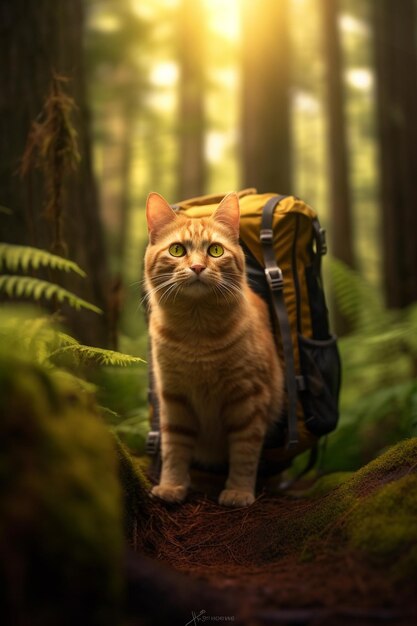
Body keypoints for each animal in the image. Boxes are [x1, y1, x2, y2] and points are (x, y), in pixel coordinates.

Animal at [143, 191, 282, 508]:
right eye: (177, 250)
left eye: (215, 251)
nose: (197, 267)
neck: (197, 334)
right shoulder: (174, 397)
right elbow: (174, 448)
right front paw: (171, 486)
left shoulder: (249, 398)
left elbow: (244, 453)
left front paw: (239, 491)